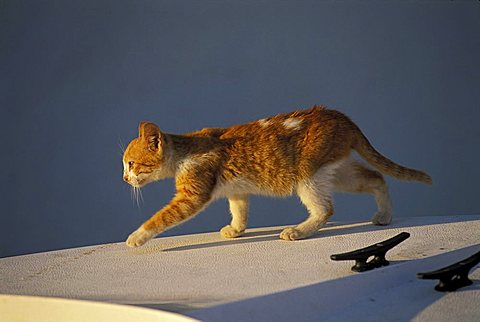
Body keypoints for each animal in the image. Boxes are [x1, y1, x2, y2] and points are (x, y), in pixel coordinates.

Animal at [124, 105, 432, 247]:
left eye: (130, 163)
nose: (125, 179)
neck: (185, 151)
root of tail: (339, 116)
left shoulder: (191, 197)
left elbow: (160, 218)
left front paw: (137, 236)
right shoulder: (236, 190)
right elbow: (240, 211)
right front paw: (235, 230)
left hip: (308, 176)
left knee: (325, 209)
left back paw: (298, 231)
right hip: (337, 172)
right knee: (377, 178)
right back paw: (384, 215)